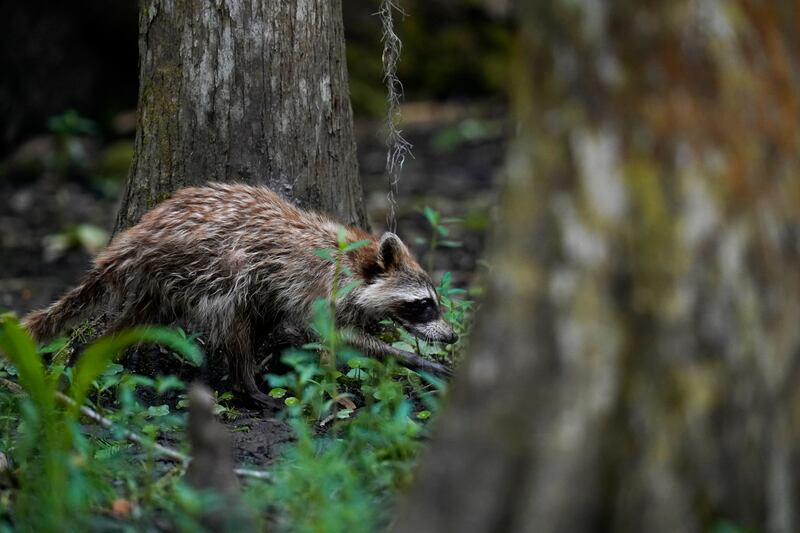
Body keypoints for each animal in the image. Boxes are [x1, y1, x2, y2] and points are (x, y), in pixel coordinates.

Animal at [23, 183, 457, 406]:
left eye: (435, 302)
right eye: (423, 305)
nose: (453, 336)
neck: (355, 259)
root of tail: (139, 234)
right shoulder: (315, 286)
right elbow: (333, 334)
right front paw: (409, 358)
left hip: (164, 284)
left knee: (138, 320)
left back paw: (98, 350)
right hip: (207, 264)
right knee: (231, 314)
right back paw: (245, 383)